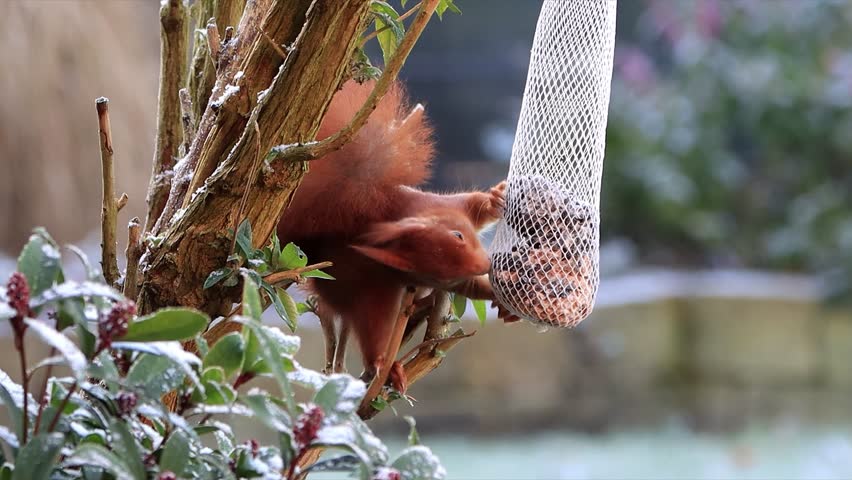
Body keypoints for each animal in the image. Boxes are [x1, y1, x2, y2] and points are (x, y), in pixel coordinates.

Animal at [277, 80, 512, 393]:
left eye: (459, 235)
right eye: (441, 272)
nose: (484, 265)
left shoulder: (445, 206)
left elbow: (475, 207)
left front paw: (496, 200)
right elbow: (469, 287)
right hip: (369, 292)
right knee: (372, 328)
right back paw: (386, 365)